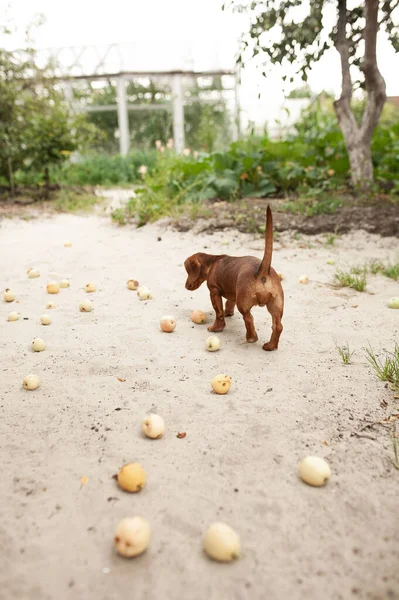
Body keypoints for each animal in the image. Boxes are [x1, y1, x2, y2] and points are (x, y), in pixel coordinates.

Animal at [185, 206, 284, 350]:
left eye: (187, 271)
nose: (186, 286)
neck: (212, 262)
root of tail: (262, 272)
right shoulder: (232, 293)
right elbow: (228, 303)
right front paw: (228, 312)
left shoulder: (214, 292)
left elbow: (219, 312)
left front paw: (217, 328)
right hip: (276, 306)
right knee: (278, 326)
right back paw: (271, 346)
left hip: (243, 304)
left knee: (248, 318)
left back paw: (251, 338)